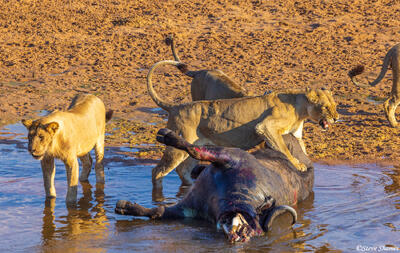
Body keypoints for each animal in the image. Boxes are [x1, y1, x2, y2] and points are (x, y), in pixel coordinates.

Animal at [147, 60, 338, 190]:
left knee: (183, 170)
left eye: (335, 106)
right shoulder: (265, 127)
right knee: (157, 171)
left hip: (192, 147)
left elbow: (302, 149)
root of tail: (175, 106)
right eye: (325, 107)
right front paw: (298, 165)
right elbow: (284, 149)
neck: (300, 106)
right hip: (176, 148)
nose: (336, 118)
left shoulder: (296, 134)